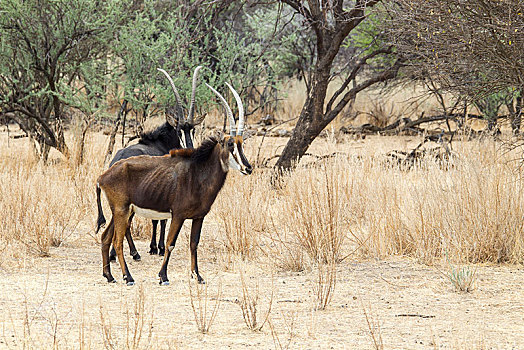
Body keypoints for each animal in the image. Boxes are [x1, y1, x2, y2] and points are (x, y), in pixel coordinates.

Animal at [96, 67, 205, 262]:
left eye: (191, 129)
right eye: (179, 130)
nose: (190, 148)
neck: (161, 142)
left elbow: (156, 219)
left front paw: (154, 247)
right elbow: (160, 220)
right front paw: (158, 247)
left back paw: (118, 254)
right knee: (126, 224)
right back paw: (131, 253)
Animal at [99, 83, 254, 286]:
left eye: (241, 143)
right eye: (229, 144)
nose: (248, 168)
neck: (198, 172)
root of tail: (103, 176)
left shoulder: (199, 217)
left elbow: (194, 244)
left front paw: (197, 276)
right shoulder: (178, 215)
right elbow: (170, 243)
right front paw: (163, 276)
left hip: (120, 211)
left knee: (105, 237)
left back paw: (109, 276)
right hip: (121, 211)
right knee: (117, 241)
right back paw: (129, 277)